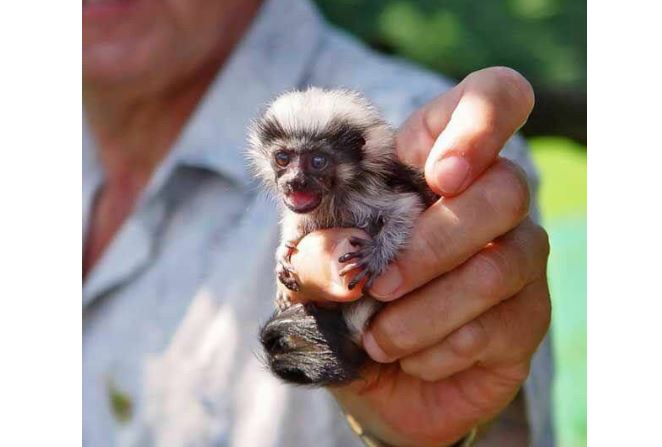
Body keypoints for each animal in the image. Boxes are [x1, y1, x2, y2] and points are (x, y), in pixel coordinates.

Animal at [246, 89, 438, 386]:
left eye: (318, 161)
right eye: (282, 159)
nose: (295, 181)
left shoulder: (373, 191)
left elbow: (408, 207)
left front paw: (374, 256)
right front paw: (283, 252)